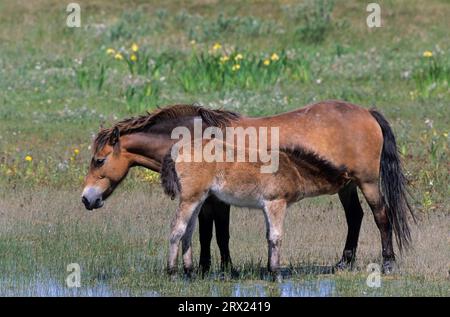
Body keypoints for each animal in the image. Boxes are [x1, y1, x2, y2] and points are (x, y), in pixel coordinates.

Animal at [81, 100, 414, 274]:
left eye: (99, 160)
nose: (86, 199)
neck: (195, 136)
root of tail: (366, 112)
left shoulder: (214, 200)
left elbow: (216, 234)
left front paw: (219, 269)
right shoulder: (211, 199)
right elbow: (209, 234)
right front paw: (210, 268)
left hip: (367, 182)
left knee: (381, 217)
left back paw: (388, 263)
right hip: (346, 185)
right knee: (355, 217)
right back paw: (344, 262)